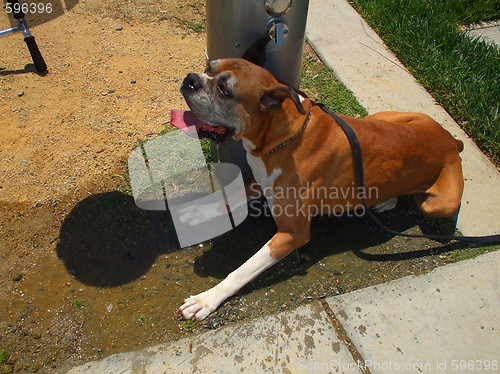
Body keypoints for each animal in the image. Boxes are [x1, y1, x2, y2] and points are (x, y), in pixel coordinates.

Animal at [174, 58, 462, 322]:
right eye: (209, 67)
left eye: (224, 89)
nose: (191, 79)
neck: (281, 137)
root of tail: (451, 139)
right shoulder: (260, 180)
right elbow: (229, 197)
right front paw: (198, 213)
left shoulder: (293, 233)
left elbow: (243, 269)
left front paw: (207, 299)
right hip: (381, 117)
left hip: (439, 203)